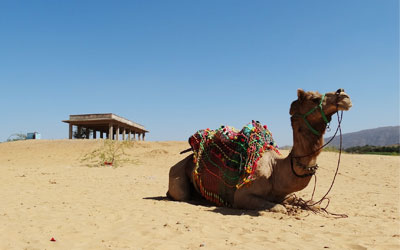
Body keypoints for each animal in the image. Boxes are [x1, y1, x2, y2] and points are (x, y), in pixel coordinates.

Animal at [167, 89, 352, 212]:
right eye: (314, 99)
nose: (344, 95)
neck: (277, 170)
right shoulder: (241, 196)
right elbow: (280, 208)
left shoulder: (284, 194)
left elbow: (307, 202)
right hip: (177, 176)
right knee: (181, 195)